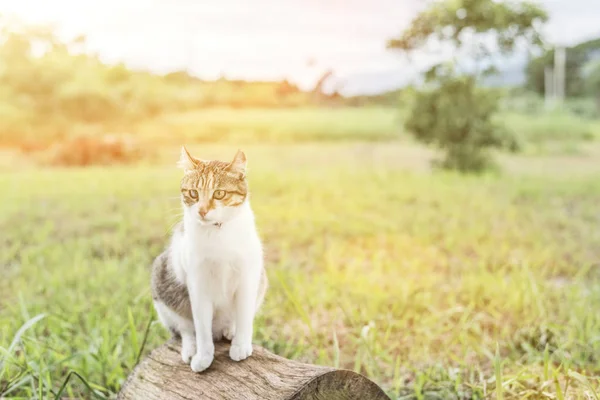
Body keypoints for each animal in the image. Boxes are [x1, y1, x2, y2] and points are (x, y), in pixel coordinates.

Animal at [152, 146, 268, 372]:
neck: (218, 232)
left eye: (220, 193)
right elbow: (201, 327)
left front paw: (241, 345)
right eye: (193, 193)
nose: (203, 210)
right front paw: (204, 355)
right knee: (185, 328)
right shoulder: (198, 284)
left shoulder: (248, 277)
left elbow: (244, 315)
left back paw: (230, 330)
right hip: (162, 283)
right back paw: (190, 347)